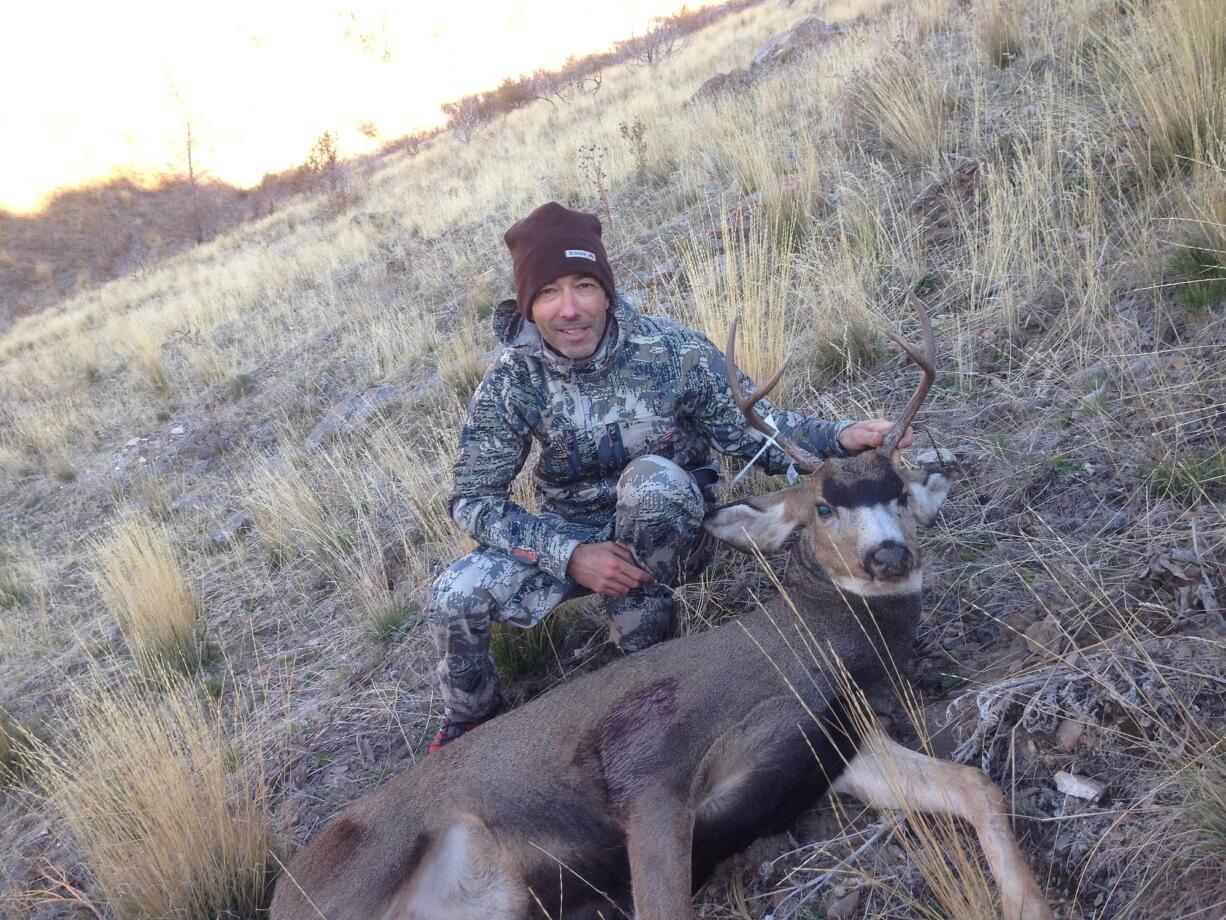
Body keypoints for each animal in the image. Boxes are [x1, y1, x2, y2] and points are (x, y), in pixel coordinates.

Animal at [270, 299, 1054, 917]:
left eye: (899, 491)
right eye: (824, 507)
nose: (889, 556)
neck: (813, 651)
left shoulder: (848, 746)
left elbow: (977, 784)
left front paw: (1028, 903)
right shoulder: (649, 766)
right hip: (356, 877)